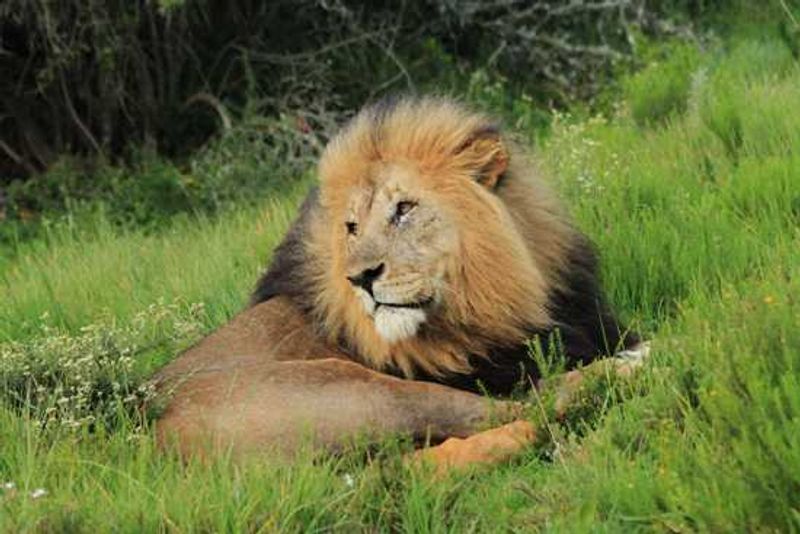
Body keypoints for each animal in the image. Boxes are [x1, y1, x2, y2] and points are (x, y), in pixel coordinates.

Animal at [155, 97, 643, 468]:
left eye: (404, 209)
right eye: (352, 227)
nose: (359, 277)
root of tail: (151, 435)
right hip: (357, 388)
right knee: (526, 406)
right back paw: (629, 369)